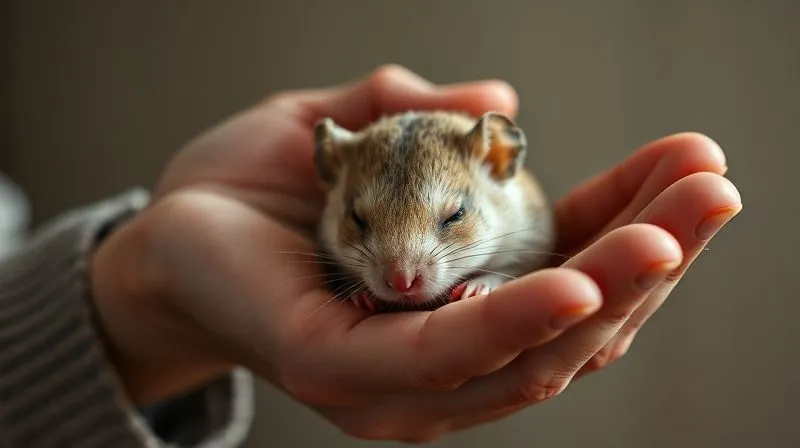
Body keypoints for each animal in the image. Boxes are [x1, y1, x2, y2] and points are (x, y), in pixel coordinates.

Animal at [313, 110, 556, 312]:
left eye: (456, 214)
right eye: (356, 218)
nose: (402, 283)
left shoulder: (532, 245)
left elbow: (507, 271)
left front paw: (472, 289)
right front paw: (361, 297)